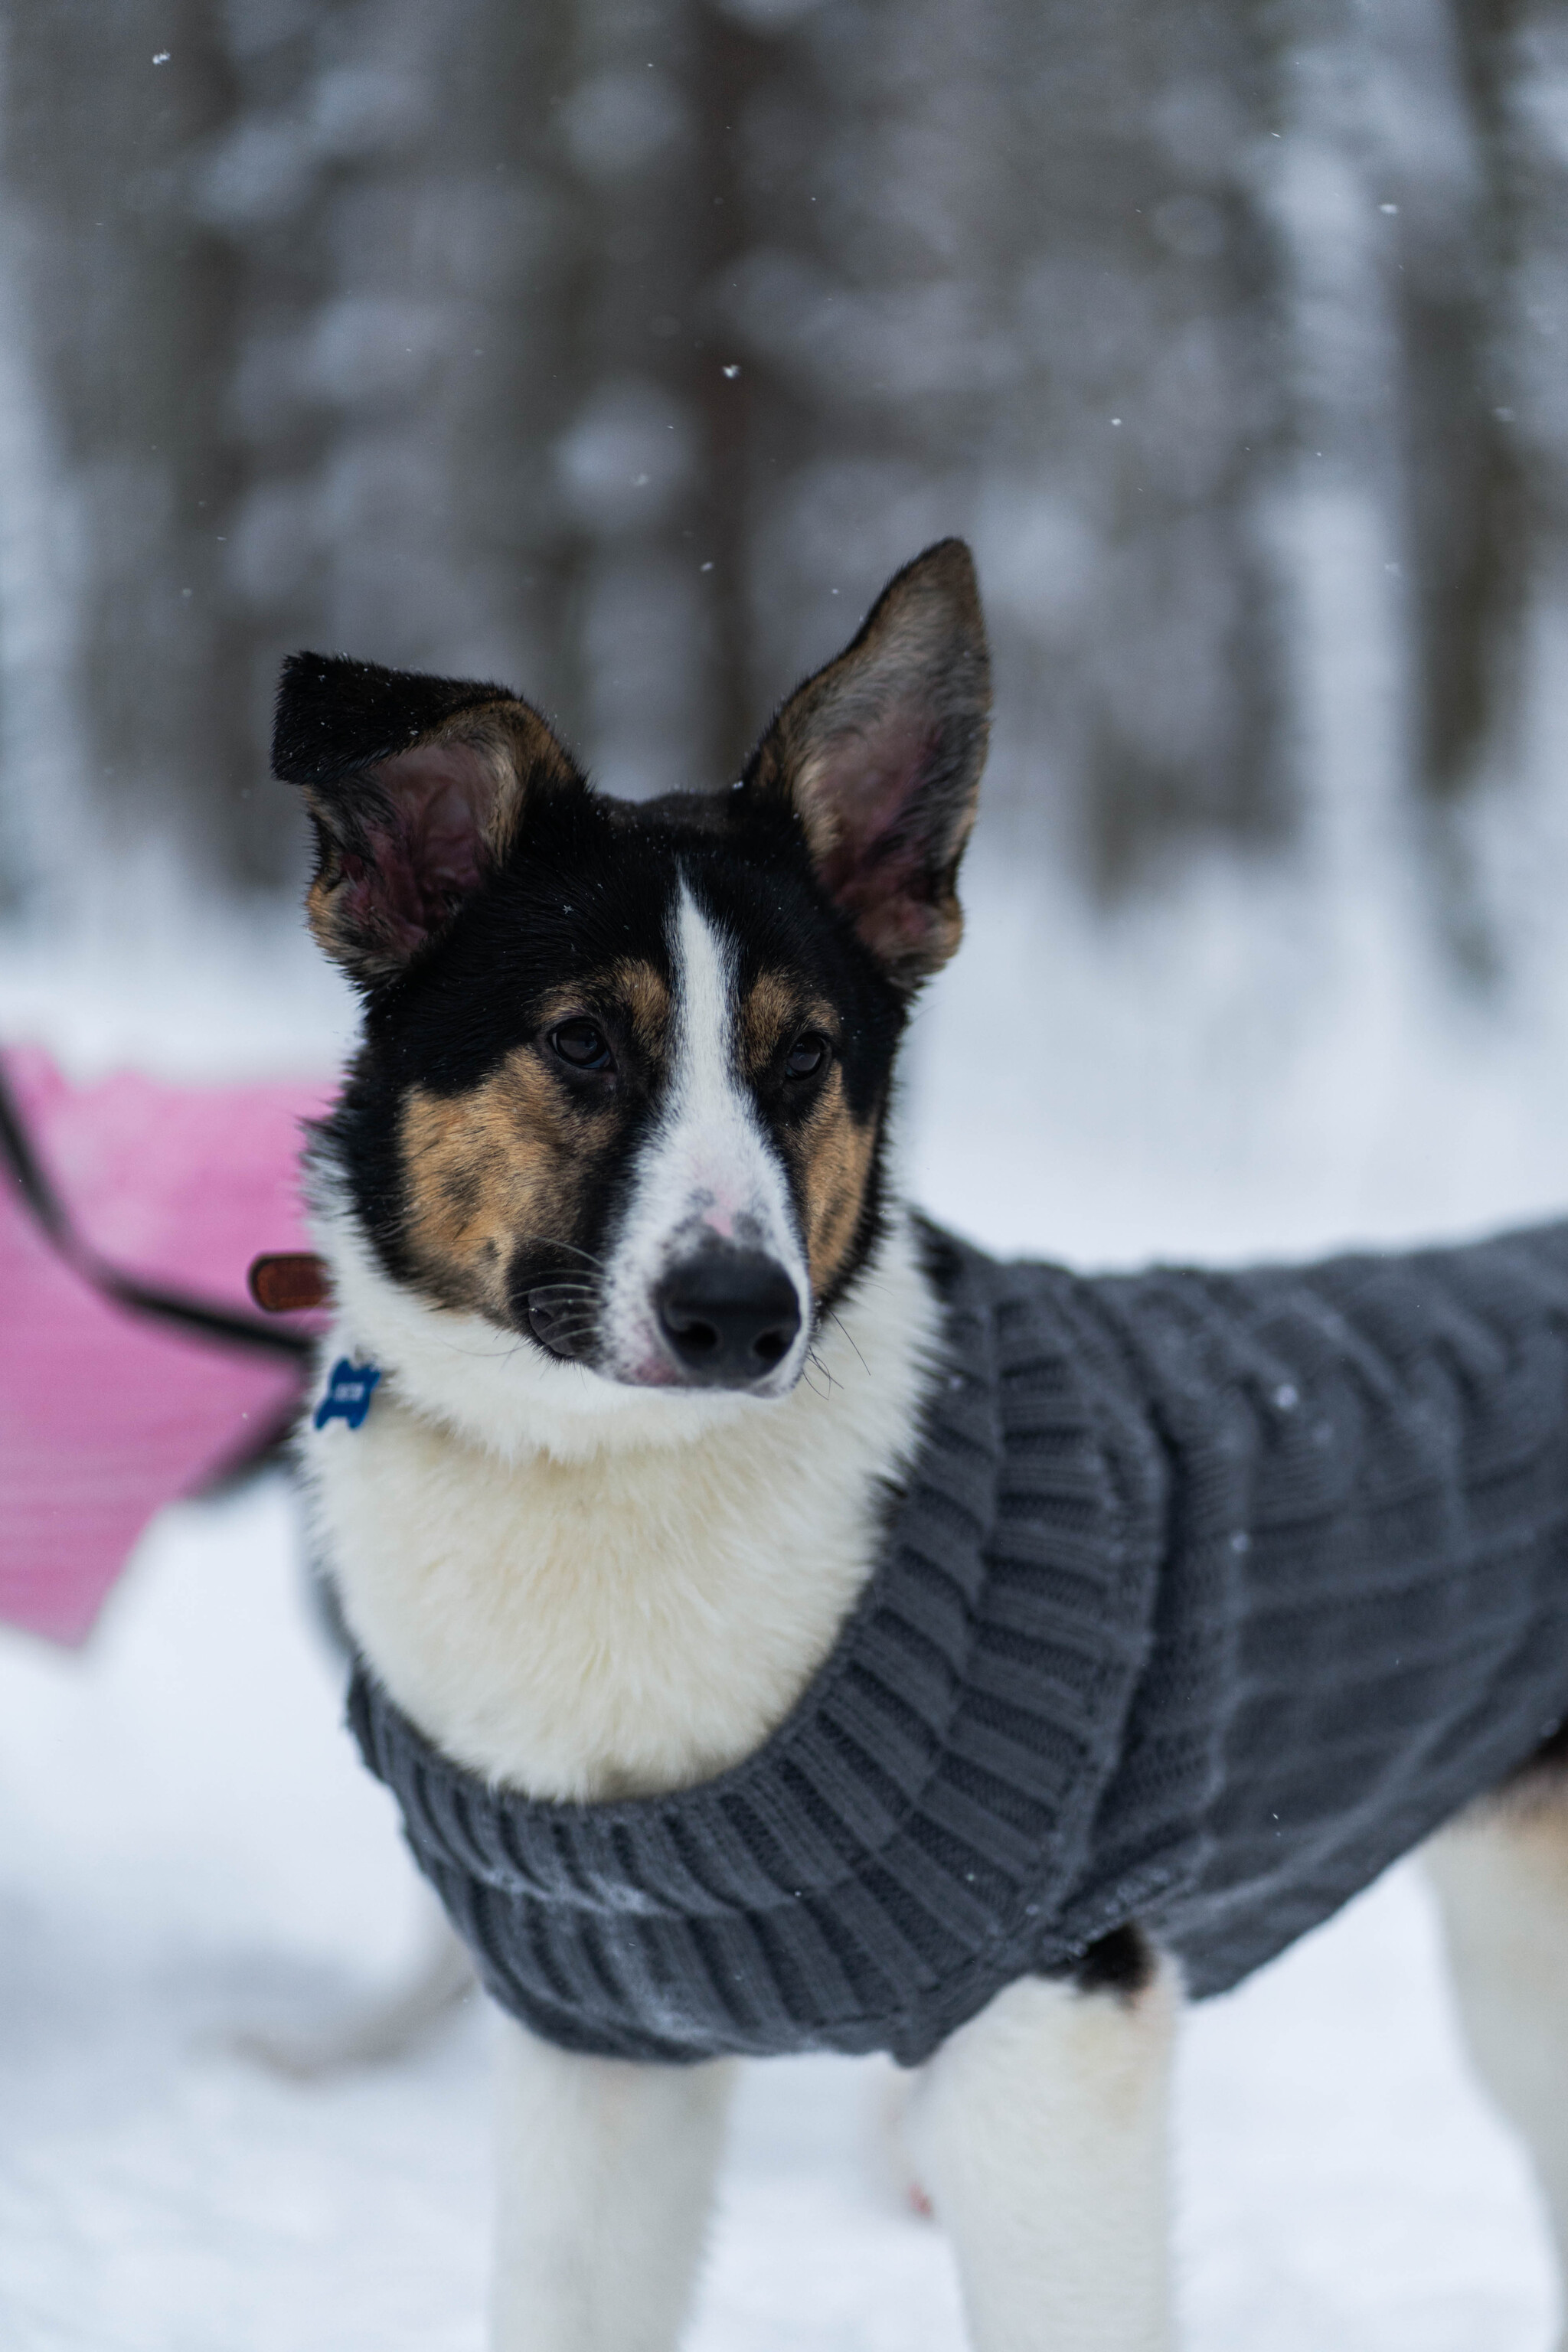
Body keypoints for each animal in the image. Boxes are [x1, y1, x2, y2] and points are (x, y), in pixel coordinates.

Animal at [276, 538, 1568, 2352]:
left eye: (803, 1056)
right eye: (580, 1041)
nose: (740, 1315)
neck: (613, 1480)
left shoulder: (1047, 2026)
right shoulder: (597, 2050)